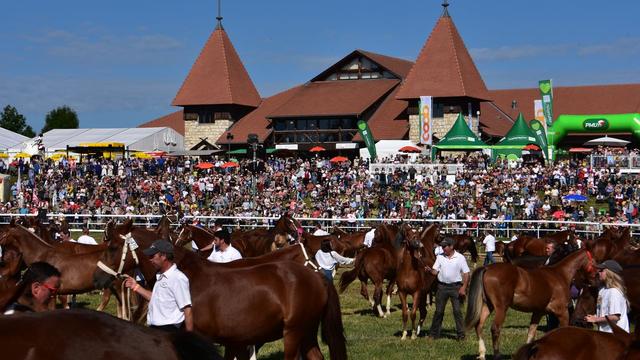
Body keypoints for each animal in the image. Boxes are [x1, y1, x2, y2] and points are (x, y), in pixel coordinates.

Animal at [464, 250, 596, 360]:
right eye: (593, 262)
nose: (596, 276)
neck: (560, 274)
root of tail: (487, 268)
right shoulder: (562, 312)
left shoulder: (538, 312)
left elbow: (531, 333)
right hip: (501, 308)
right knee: (495, 328)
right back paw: (497, 356)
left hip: (488, 306)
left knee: (479, 325)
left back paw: (482, 354)